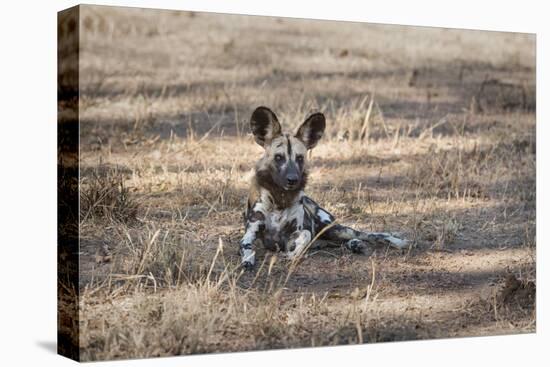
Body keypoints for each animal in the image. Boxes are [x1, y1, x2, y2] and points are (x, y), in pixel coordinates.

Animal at [239, 106, 408, 270]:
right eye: (278, 157)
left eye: (300, 158)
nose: (292, 180)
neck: (281, 198)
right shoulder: (252, 233)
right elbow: (247, 246)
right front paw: (248, 260)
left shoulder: (295, 233)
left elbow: (305, 235)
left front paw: (293, 254)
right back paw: (354, 245)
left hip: (335, 229)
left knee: (368, 234)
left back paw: (393, 241)